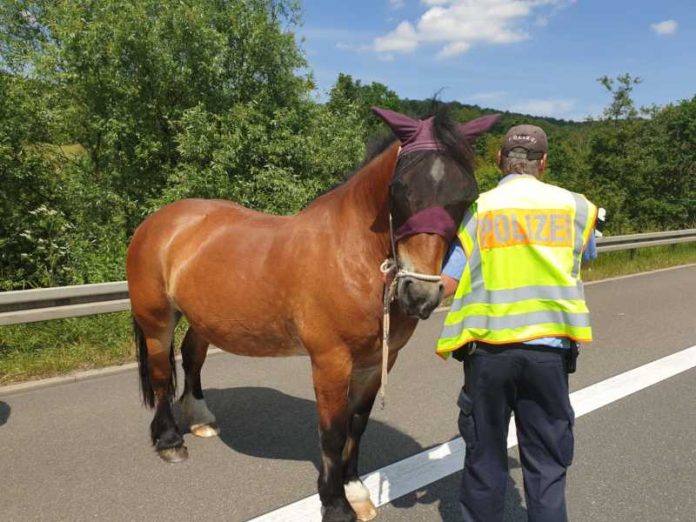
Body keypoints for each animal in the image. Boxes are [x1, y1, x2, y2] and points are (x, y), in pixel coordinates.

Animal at [128, 106, 498, 520]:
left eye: (467, 195)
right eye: (399, 189)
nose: (420, 294)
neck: (352, 255)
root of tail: (158, 221)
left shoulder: (378, 361)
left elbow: (358, 422)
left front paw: (354, 488)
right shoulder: (331, 360)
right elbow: (333, 431)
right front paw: (335, 503)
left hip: (203, 318)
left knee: (192, 356)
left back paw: (201, 419)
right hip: (157, 319)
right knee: (161, 372)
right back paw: (169, 441)